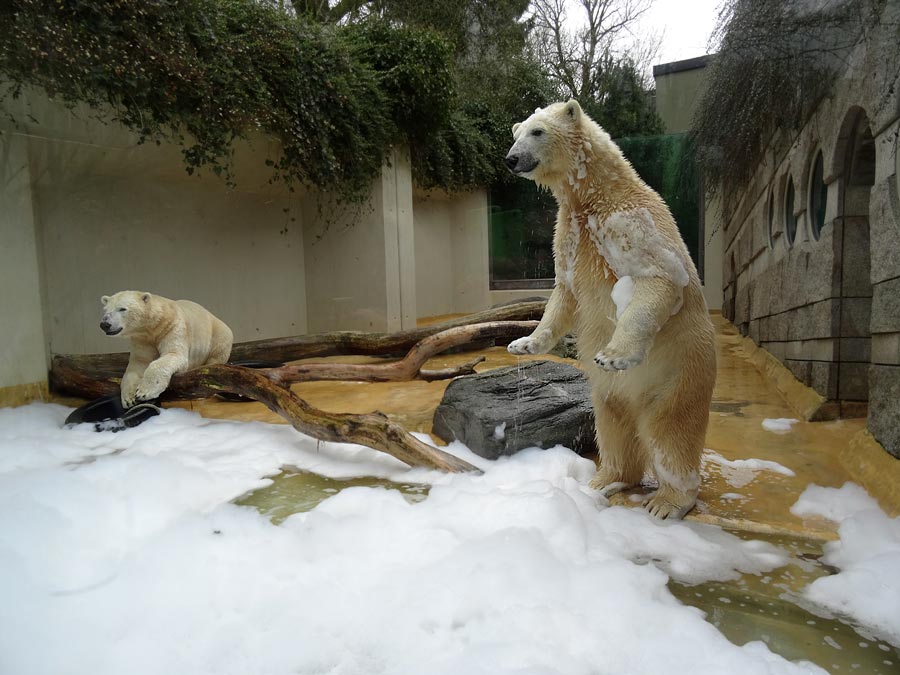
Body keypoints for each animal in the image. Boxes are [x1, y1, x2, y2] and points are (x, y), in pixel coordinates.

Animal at [99, 290, 234, 406]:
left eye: (122, 309)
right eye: (105, 310)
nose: (104, 324)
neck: (152, 327)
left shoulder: (172, 327)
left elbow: (173, 354)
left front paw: (145, 392)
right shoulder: (141, 339)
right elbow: (138, 363)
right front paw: (129, 398)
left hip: (219, 335)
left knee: (215, 357)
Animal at [506, 101, 716, 524]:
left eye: (537, 131)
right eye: (516, 133)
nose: (511, 159)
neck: (595, 194)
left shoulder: (628, 220)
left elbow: (658, 277)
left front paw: (614, 355)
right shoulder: (570, 234)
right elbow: (564, 293)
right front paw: (524, 343)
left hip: (680, 369)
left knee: (670, 431)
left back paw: (668, 501)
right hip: (607, 395)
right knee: (613, 424)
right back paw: (605, 479)